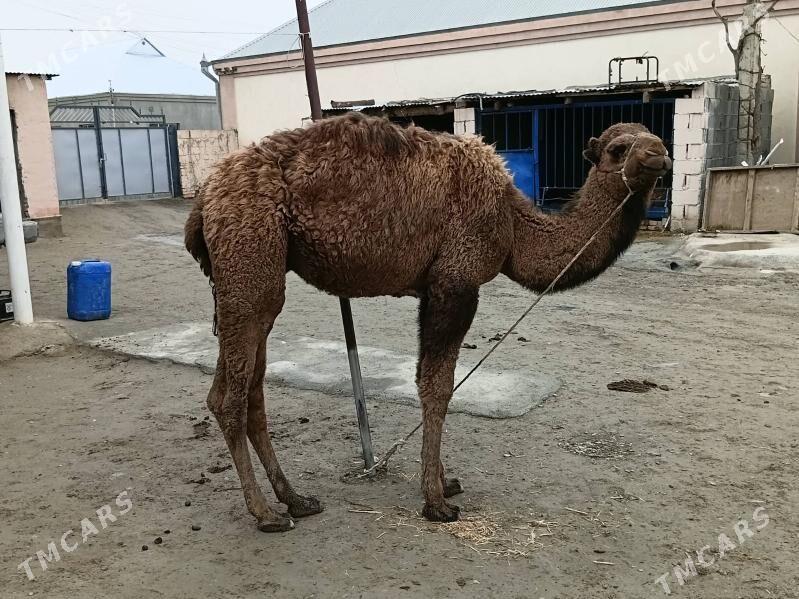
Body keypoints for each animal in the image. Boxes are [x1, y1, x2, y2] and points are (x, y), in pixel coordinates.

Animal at [185, 113, 671, 532]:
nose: (660, 154)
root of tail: (205, 198)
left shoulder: (433, 288)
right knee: (229, 396)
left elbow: (434, 380)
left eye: (655, 136)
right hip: (250, 255)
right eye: (617, 149)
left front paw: (444, 480)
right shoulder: (456, 281)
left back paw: (296, 500)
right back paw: (266, 513)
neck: (514, 225)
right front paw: (436, 501)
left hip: (256, 277)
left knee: (250, 390)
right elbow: (437, 385)